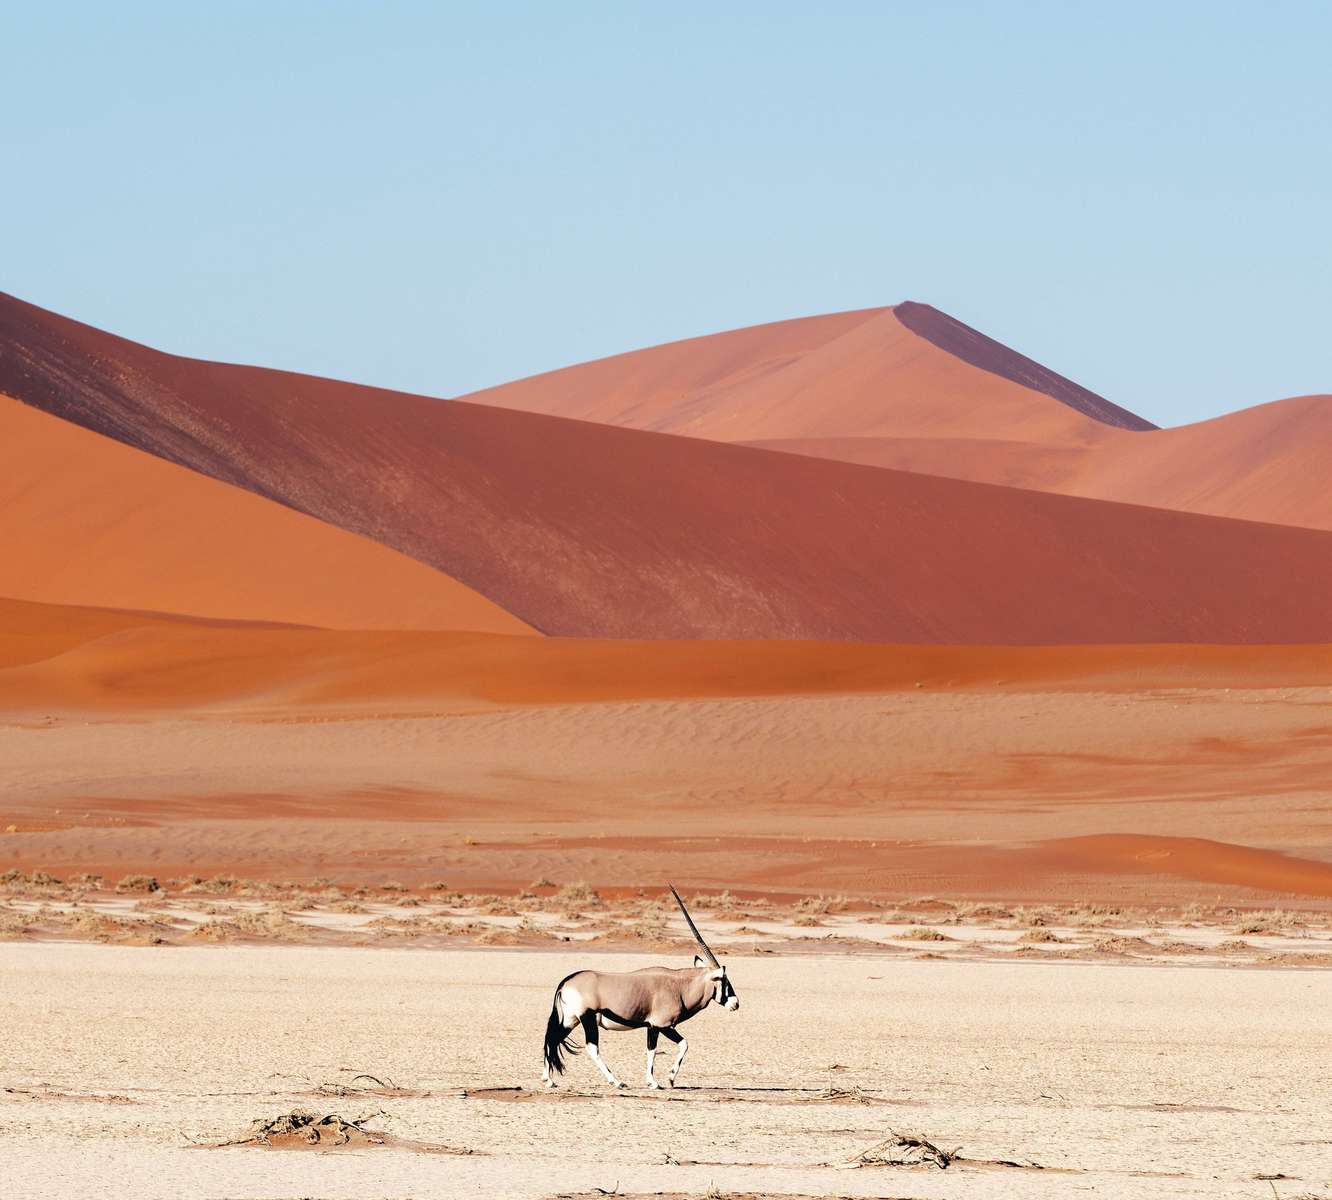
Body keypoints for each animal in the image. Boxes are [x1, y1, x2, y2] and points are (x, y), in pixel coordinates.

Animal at [540, 879, 740, 1086]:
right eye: (724, 980)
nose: (735, 1003)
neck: (680, 987)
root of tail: (566, 983)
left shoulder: (653, 1027)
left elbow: (655, 1050)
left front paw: (655, 1080)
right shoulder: (661, 1025)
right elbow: (674, 1046)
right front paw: (664, 1079)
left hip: (570, 1020)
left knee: (552, 1039)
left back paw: (548, 1079)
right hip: (587, 1019)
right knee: (591, 1047)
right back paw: (616, 1081)